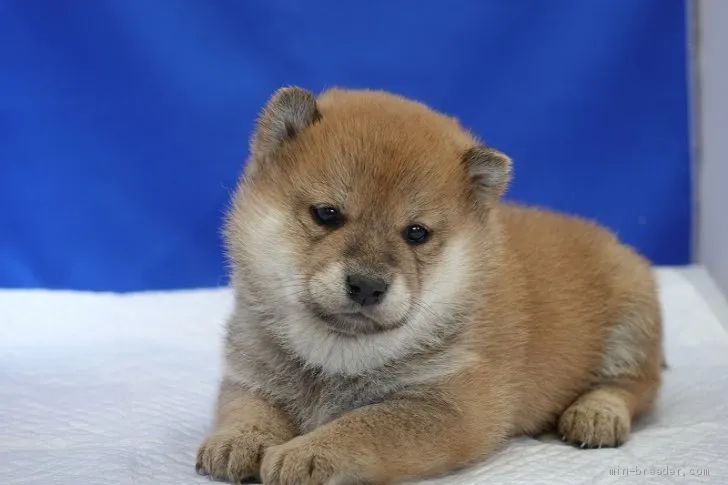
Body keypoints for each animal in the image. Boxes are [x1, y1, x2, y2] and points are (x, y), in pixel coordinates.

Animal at [196, 87, 664, 484]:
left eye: (416, 233)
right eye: (327, 214)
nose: (367, 286)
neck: (334, 358)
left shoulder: (449, 405)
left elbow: (363, 426)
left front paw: (309, 453)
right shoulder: (251, 375)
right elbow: (245, 407)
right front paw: (238, 439)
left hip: (632, 321)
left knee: (635, 387)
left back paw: (596, 413)